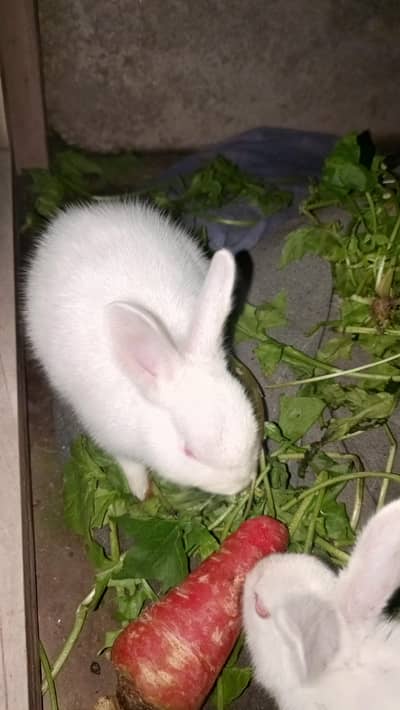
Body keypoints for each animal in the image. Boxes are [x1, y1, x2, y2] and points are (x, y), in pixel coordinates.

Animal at [24, 200, 259, 500]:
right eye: (188, 452)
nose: (241, 483)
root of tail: (72, 217)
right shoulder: (111, 438)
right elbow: (130, 465)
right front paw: (140, 491)